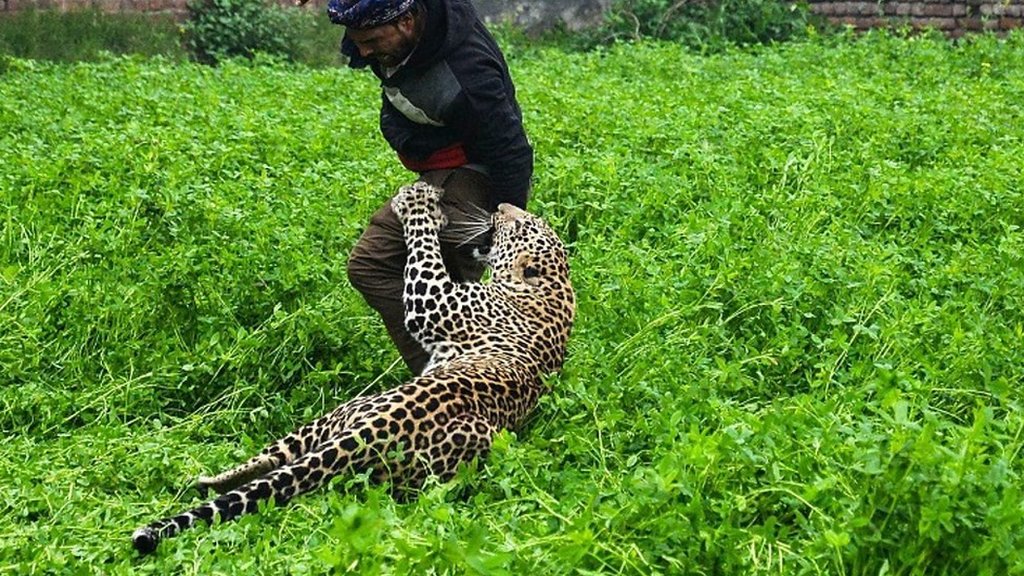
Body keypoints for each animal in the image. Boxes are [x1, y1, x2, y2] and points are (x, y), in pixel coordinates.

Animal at [131, 181, 577, 553]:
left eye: (519, 224)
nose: (501, 207)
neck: (554, 288)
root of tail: (368, 434)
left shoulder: (432, 299)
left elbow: (424, 251)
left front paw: (418, 205)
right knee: (277, 464)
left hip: (345, 415)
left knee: (281, 462)